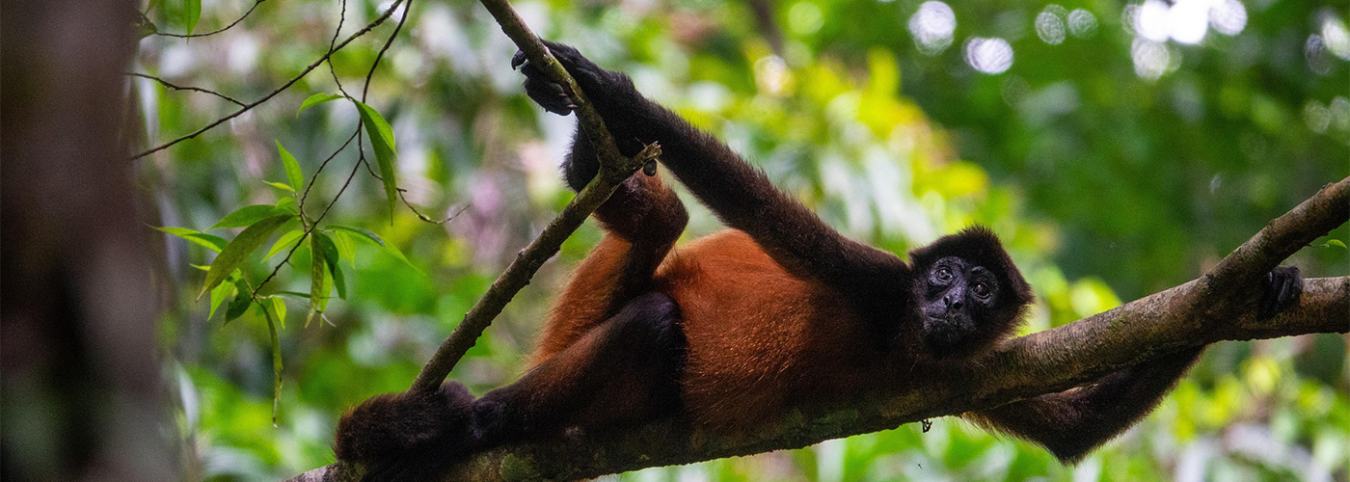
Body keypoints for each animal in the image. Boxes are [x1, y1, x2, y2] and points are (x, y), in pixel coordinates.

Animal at [333, 42, 1305, 480]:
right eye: (942, 277)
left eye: (983, 289)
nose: (953, 301)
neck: (907, 334)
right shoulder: (877, 281)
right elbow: (766, 217)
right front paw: (610, 87)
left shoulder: (977, 362)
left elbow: (1074, 429)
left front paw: (1263, 286)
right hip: (577, 317)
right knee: (657, 288)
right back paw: (475, 426)